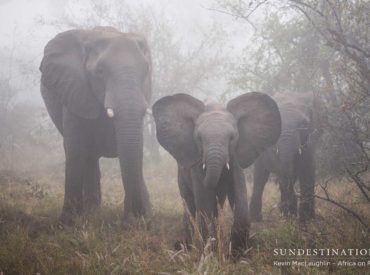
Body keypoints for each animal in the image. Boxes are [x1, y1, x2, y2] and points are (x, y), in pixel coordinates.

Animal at [41, 27, 153, 225]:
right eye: (100, 71)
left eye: (146, 71)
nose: (136, 218)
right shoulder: (75, 92)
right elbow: (76, 150)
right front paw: (68, 224)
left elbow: (136, 150)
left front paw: (140, 220)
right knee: (87, 156)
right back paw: (91, 213)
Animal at [152, 92, 282, 256]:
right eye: (199, 138)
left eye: (232, 137)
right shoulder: (196, 160)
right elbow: (204, 201)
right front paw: (210, 252)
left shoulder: (235, 157)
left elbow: (239, 195)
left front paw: (238, 252)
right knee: (190, 204)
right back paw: (186, 246)